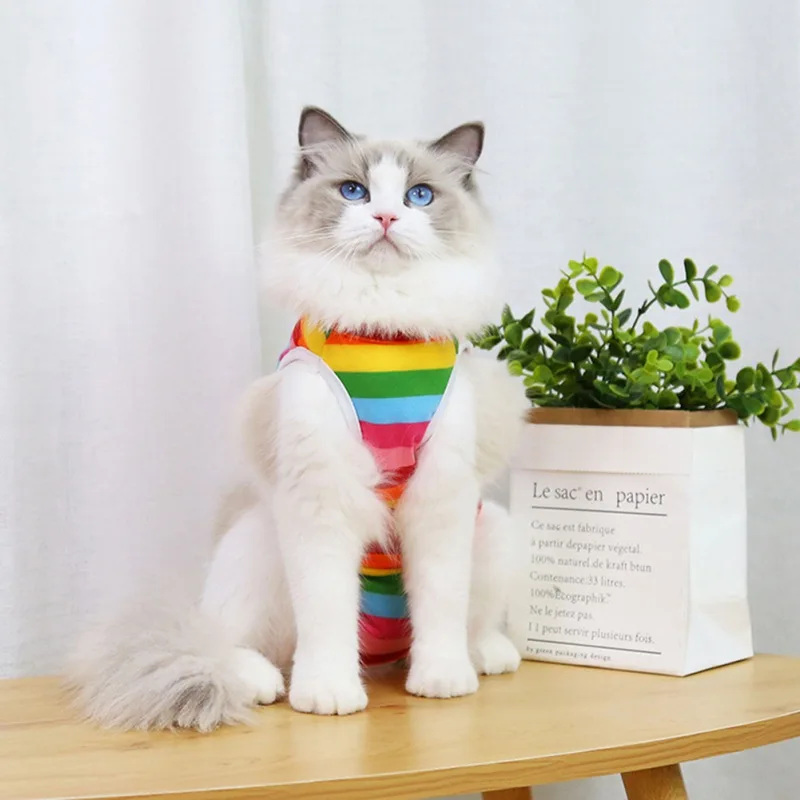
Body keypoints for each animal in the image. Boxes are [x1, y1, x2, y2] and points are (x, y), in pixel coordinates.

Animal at [67, 107, 529, 730]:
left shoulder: (442, 500)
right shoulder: (320, 499)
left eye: (420, 195)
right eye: (354, 191)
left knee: (469, 627)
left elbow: (441, 607)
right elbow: (329, 617)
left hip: (493, 530)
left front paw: (441, 683)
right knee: (224, 644)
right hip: (256, 541)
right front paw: (330, 696)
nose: (386, 216)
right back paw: (262, 681)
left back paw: (485, 658)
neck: (380, 334)